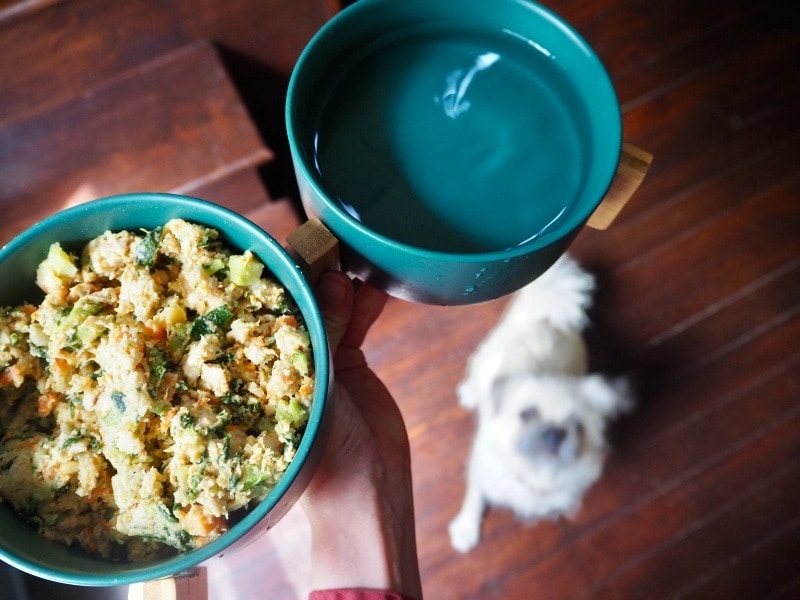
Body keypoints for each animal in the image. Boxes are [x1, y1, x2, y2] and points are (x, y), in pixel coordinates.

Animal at [450, 254, 632, 552]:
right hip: (484, 361)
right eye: (527, 414)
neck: (536, 473)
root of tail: (546, 316)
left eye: (578, 426)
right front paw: (466, 530)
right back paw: (470, 393)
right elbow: (474, 499)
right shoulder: (480, 472)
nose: (554, 433)